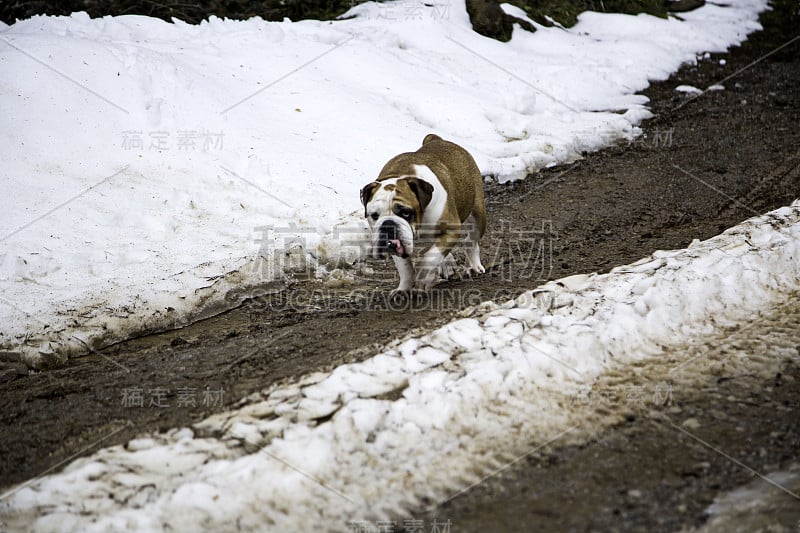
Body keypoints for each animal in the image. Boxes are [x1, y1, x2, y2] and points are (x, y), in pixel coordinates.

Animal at [360, 132, 488, 290]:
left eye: (406, 213)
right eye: (374, 216)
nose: (388, 224)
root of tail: (437, 139)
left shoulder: (452, 229)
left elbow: (430, 258)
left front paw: (422, 276)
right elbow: (405, 267)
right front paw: (404, 288)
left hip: (478, 215)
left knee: (472, 241)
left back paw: (473, 265)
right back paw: (447, 265)